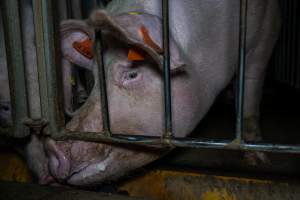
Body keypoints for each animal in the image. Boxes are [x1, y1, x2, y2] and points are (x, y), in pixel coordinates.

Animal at [25, 0, 282, 186]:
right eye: (95, 79)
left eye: (132, 74)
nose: (52, 148)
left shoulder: (264, 36)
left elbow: (250, 91)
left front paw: (257, 161)